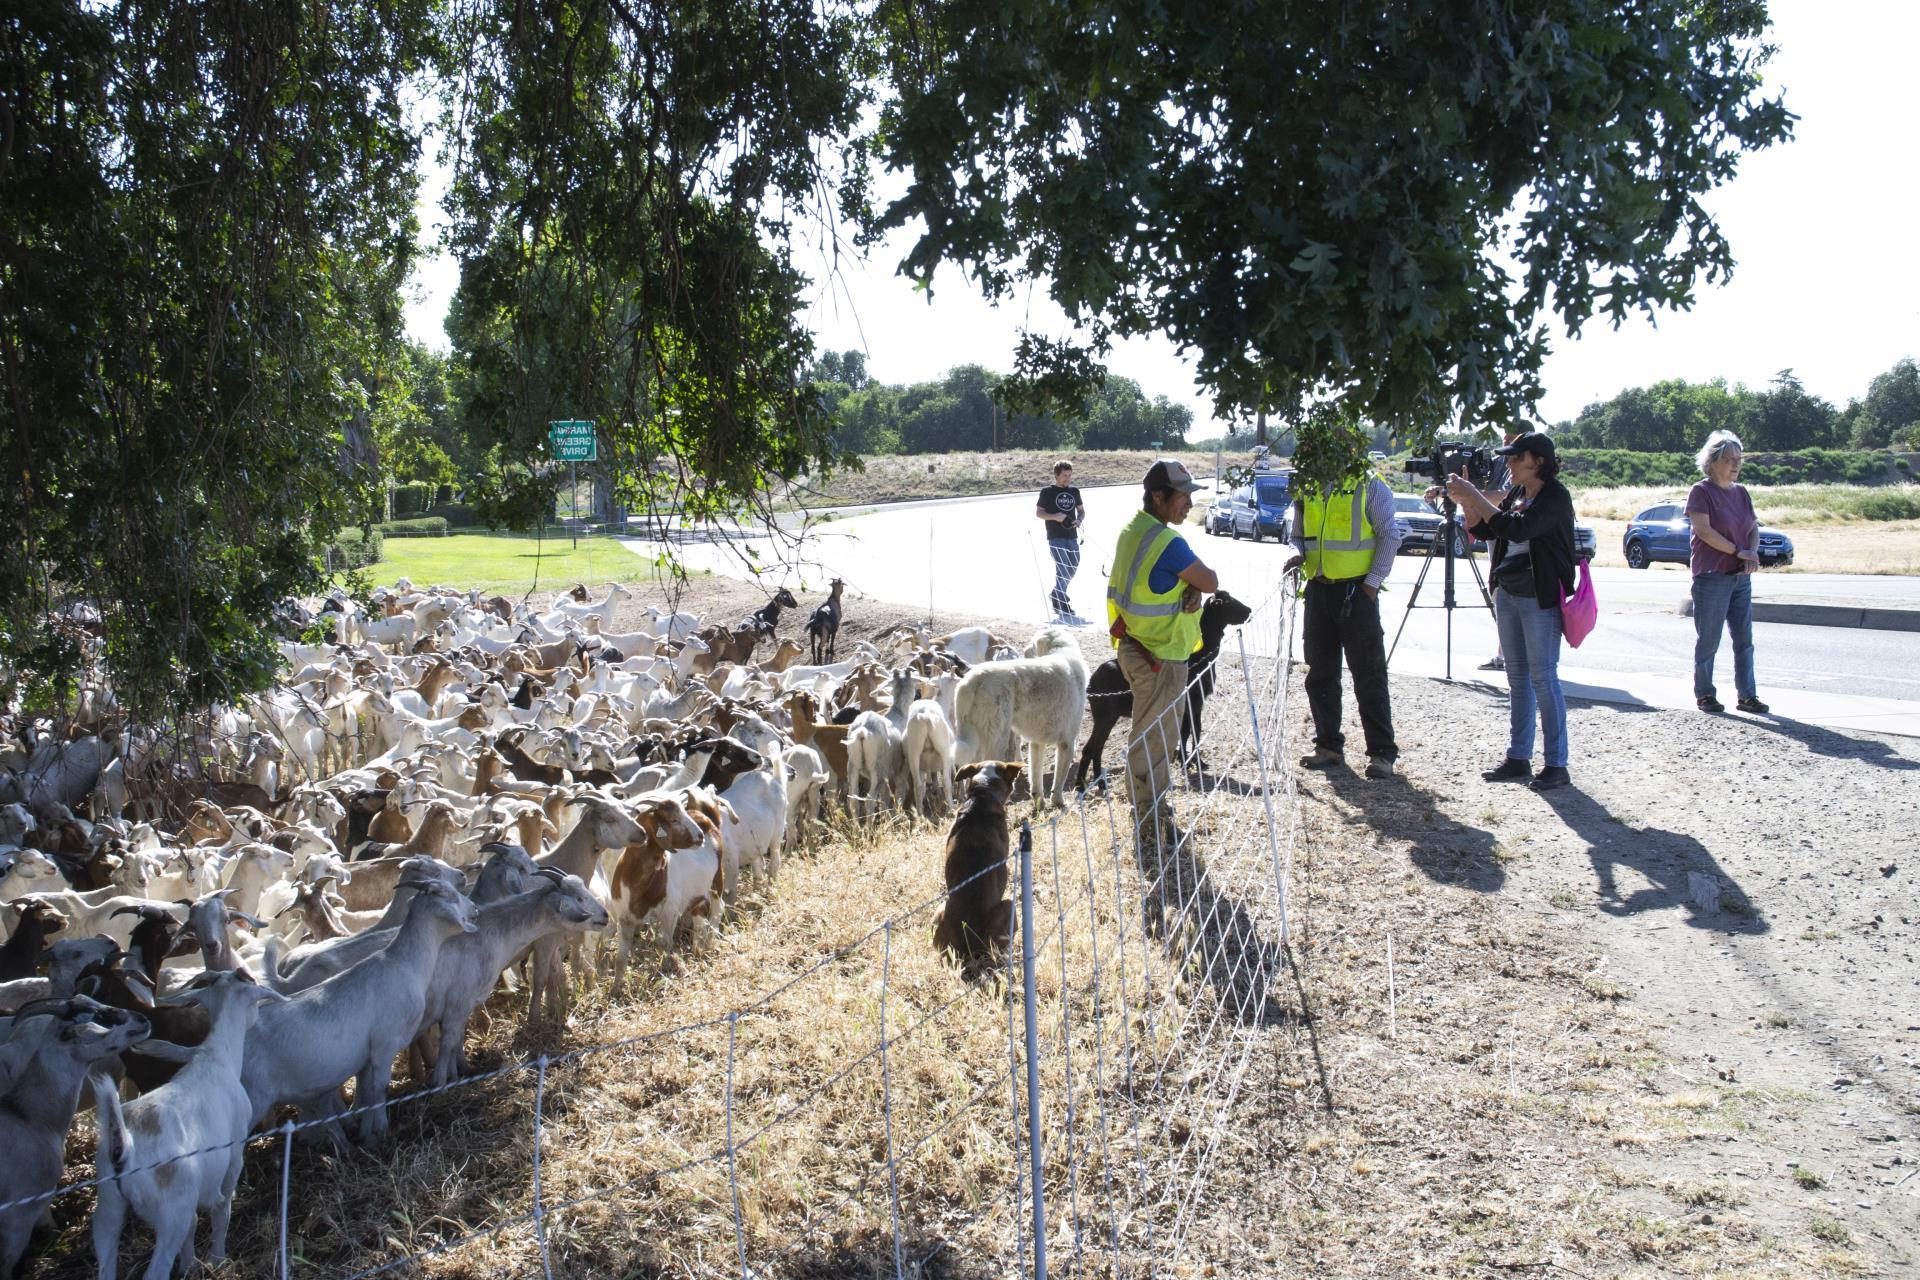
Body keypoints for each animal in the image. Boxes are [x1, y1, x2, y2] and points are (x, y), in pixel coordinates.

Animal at [1082, 591, 1259, 790]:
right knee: (1090, 749)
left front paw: (1196, 762)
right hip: (1104, 715)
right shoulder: (1188, 701)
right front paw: (1187, 764)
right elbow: (1187, 732)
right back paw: (1081, 786)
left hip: (1107, 717)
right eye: (1227, 602)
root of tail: (1091, 682)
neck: (1199, 656)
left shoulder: (1197, 704)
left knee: (1098, 749)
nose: (1248, 611)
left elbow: (1196, 730)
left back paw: (1101, 785)